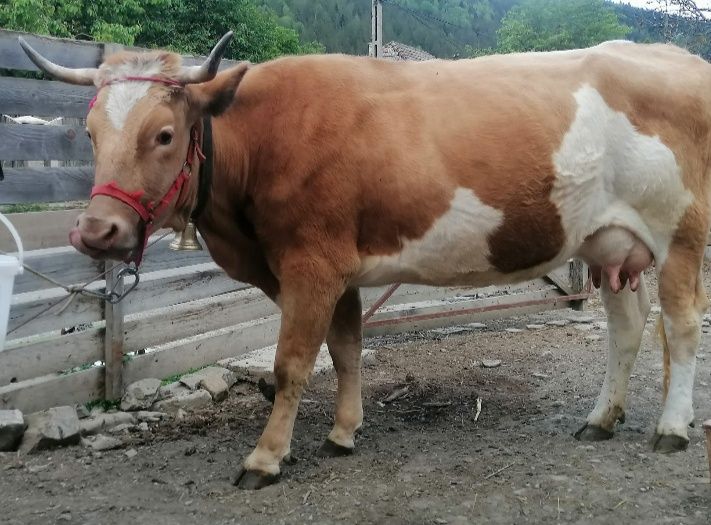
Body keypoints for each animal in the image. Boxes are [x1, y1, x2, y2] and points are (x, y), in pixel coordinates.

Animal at [19, 33, 711, 489]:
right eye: (89, 134)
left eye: (163, 134)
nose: (95, 230)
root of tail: (678, 57)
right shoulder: (338, 269)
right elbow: (347, 350)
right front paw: (343, 433)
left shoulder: (310, 264)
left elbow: (292, 364)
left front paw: (265, 458)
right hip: (609, 241)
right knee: (626, 329)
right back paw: (601, 419)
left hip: (680, 233)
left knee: (680, 327)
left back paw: (671, 429)